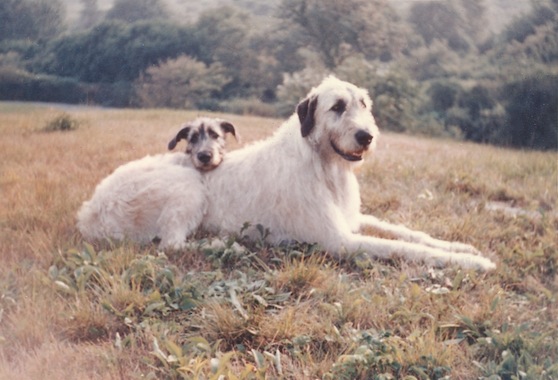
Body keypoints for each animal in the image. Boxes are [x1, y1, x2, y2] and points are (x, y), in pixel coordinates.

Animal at [77, 117, 236, 248]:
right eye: (193, 138)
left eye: (215, 135)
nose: (204, 156)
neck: (189, 162)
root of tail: (94, 226)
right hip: (188, 188)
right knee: (172, 243)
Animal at [202, 76, 498, 270]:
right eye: (337, 107)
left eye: (364, 104)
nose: (367, 136)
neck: (323, 164)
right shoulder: (340, 241)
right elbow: (402, 247)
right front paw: (472, 261)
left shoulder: (351, 217)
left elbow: (406, 233)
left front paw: (460, 247)